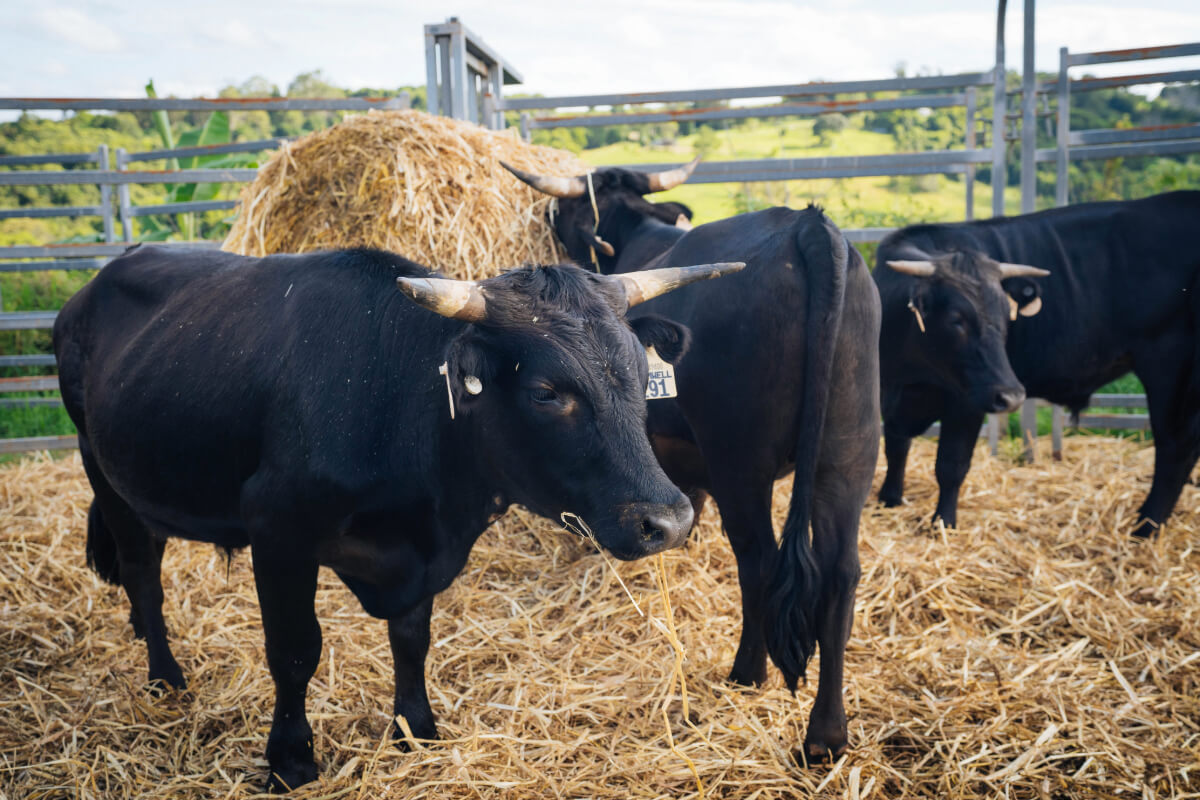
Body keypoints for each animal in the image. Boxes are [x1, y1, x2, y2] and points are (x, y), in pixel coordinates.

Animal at [54, 245, 739, 796]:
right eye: (547, 392)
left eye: (641, 377)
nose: (669, 520)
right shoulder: (276, 530)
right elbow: (295, 651)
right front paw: (290, 761)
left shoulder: (420, 556)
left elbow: (412, 640)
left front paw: (418, 728)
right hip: (103, 471)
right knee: (143, 574)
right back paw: (165, 677)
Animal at [501, 158, 878, 762]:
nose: (546, 217)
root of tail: (810, 227)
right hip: (849, 455)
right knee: (841, 573)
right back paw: (826, 735)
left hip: (741, 462)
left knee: (759, 562)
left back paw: (747, 673)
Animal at [873, 190, 1200, 534]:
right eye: (956, 320)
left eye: (1008, 317)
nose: (1013, 395)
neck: (913, 376)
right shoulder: (889, 393)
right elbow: (895, 446)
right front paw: (889, 500)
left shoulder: (968, 402)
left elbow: (951, 464)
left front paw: (944, 524)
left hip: (1170, 367)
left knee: (1176, 446)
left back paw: (1146, 526)